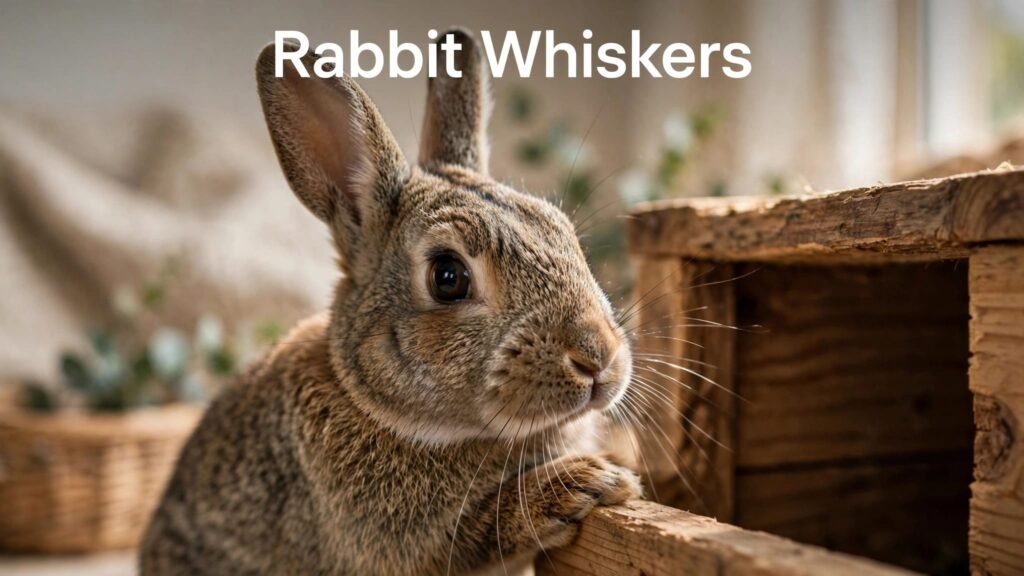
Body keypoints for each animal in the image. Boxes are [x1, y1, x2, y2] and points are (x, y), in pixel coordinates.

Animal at [140, 28, 641, 576]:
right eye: (448, 277)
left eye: (565, 232)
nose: (597, 356)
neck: (377, 406)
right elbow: (478, 531)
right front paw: (587, 481)